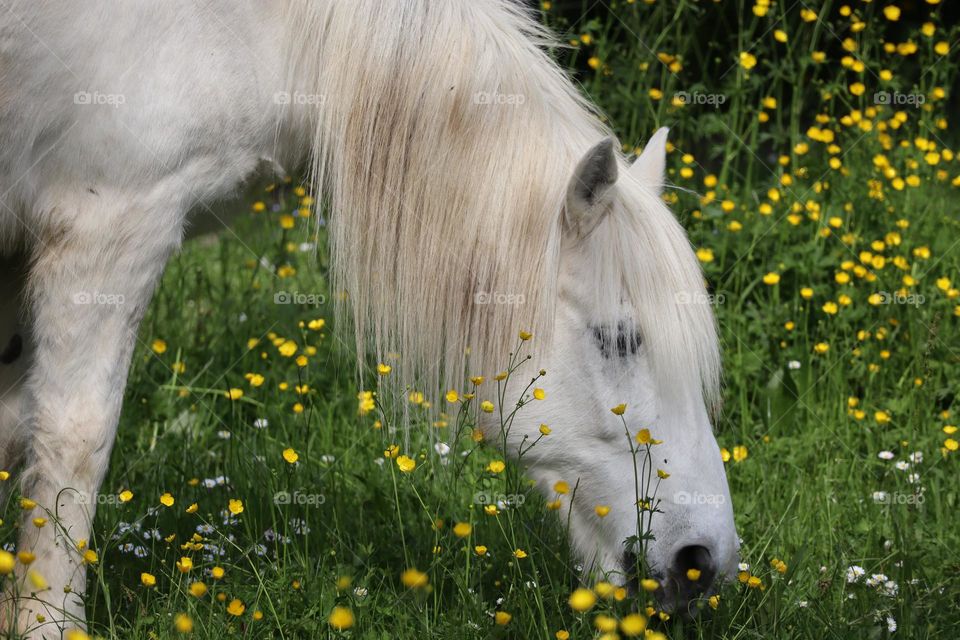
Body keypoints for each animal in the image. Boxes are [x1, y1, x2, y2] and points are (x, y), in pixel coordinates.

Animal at [0, 0, 736, 636]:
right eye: (619, 338)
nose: (705, 563)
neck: (253, 27)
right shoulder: (111, 231)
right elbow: (73, 444)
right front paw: (46, 623)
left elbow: (17, 431)